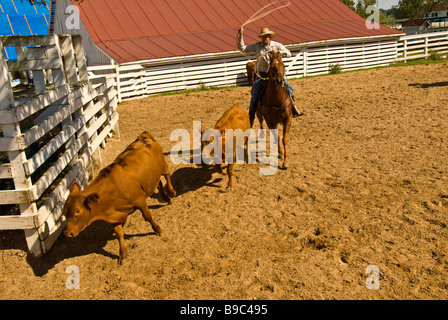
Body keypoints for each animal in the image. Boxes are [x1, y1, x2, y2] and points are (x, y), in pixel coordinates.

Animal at [63, 132, 175, 264]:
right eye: (64, 213)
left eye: (77, 211)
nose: (68, 233)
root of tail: (144, 136)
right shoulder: (113, 216)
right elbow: (119, 234)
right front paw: (123, 255)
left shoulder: (140, 201)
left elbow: (148, 216)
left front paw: (158, 230)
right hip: (152, 176)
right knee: (159, 184)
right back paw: (166, 198)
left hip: (162, 165)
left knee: (167, 175)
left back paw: (171, 192)